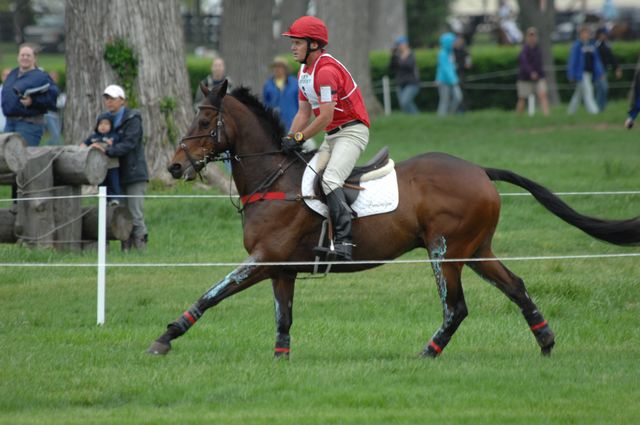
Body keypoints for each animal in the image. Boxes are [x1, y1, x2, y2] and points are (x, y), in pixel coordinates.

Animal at [146, 80, 640, 358]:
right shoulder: (281, 269)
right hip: (476, 250)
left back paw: (427, 353)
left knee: (455, 307)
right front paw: (281, 362)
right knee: (515, 286)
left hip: (446, 251)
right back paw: (546, 342)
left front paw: (166, 336)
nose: (174, 166)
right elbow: (283, 319)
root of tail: (479, 170)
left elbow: (211, 294)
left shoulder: (264, 259)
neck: (273, 178)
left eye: (205, 120)